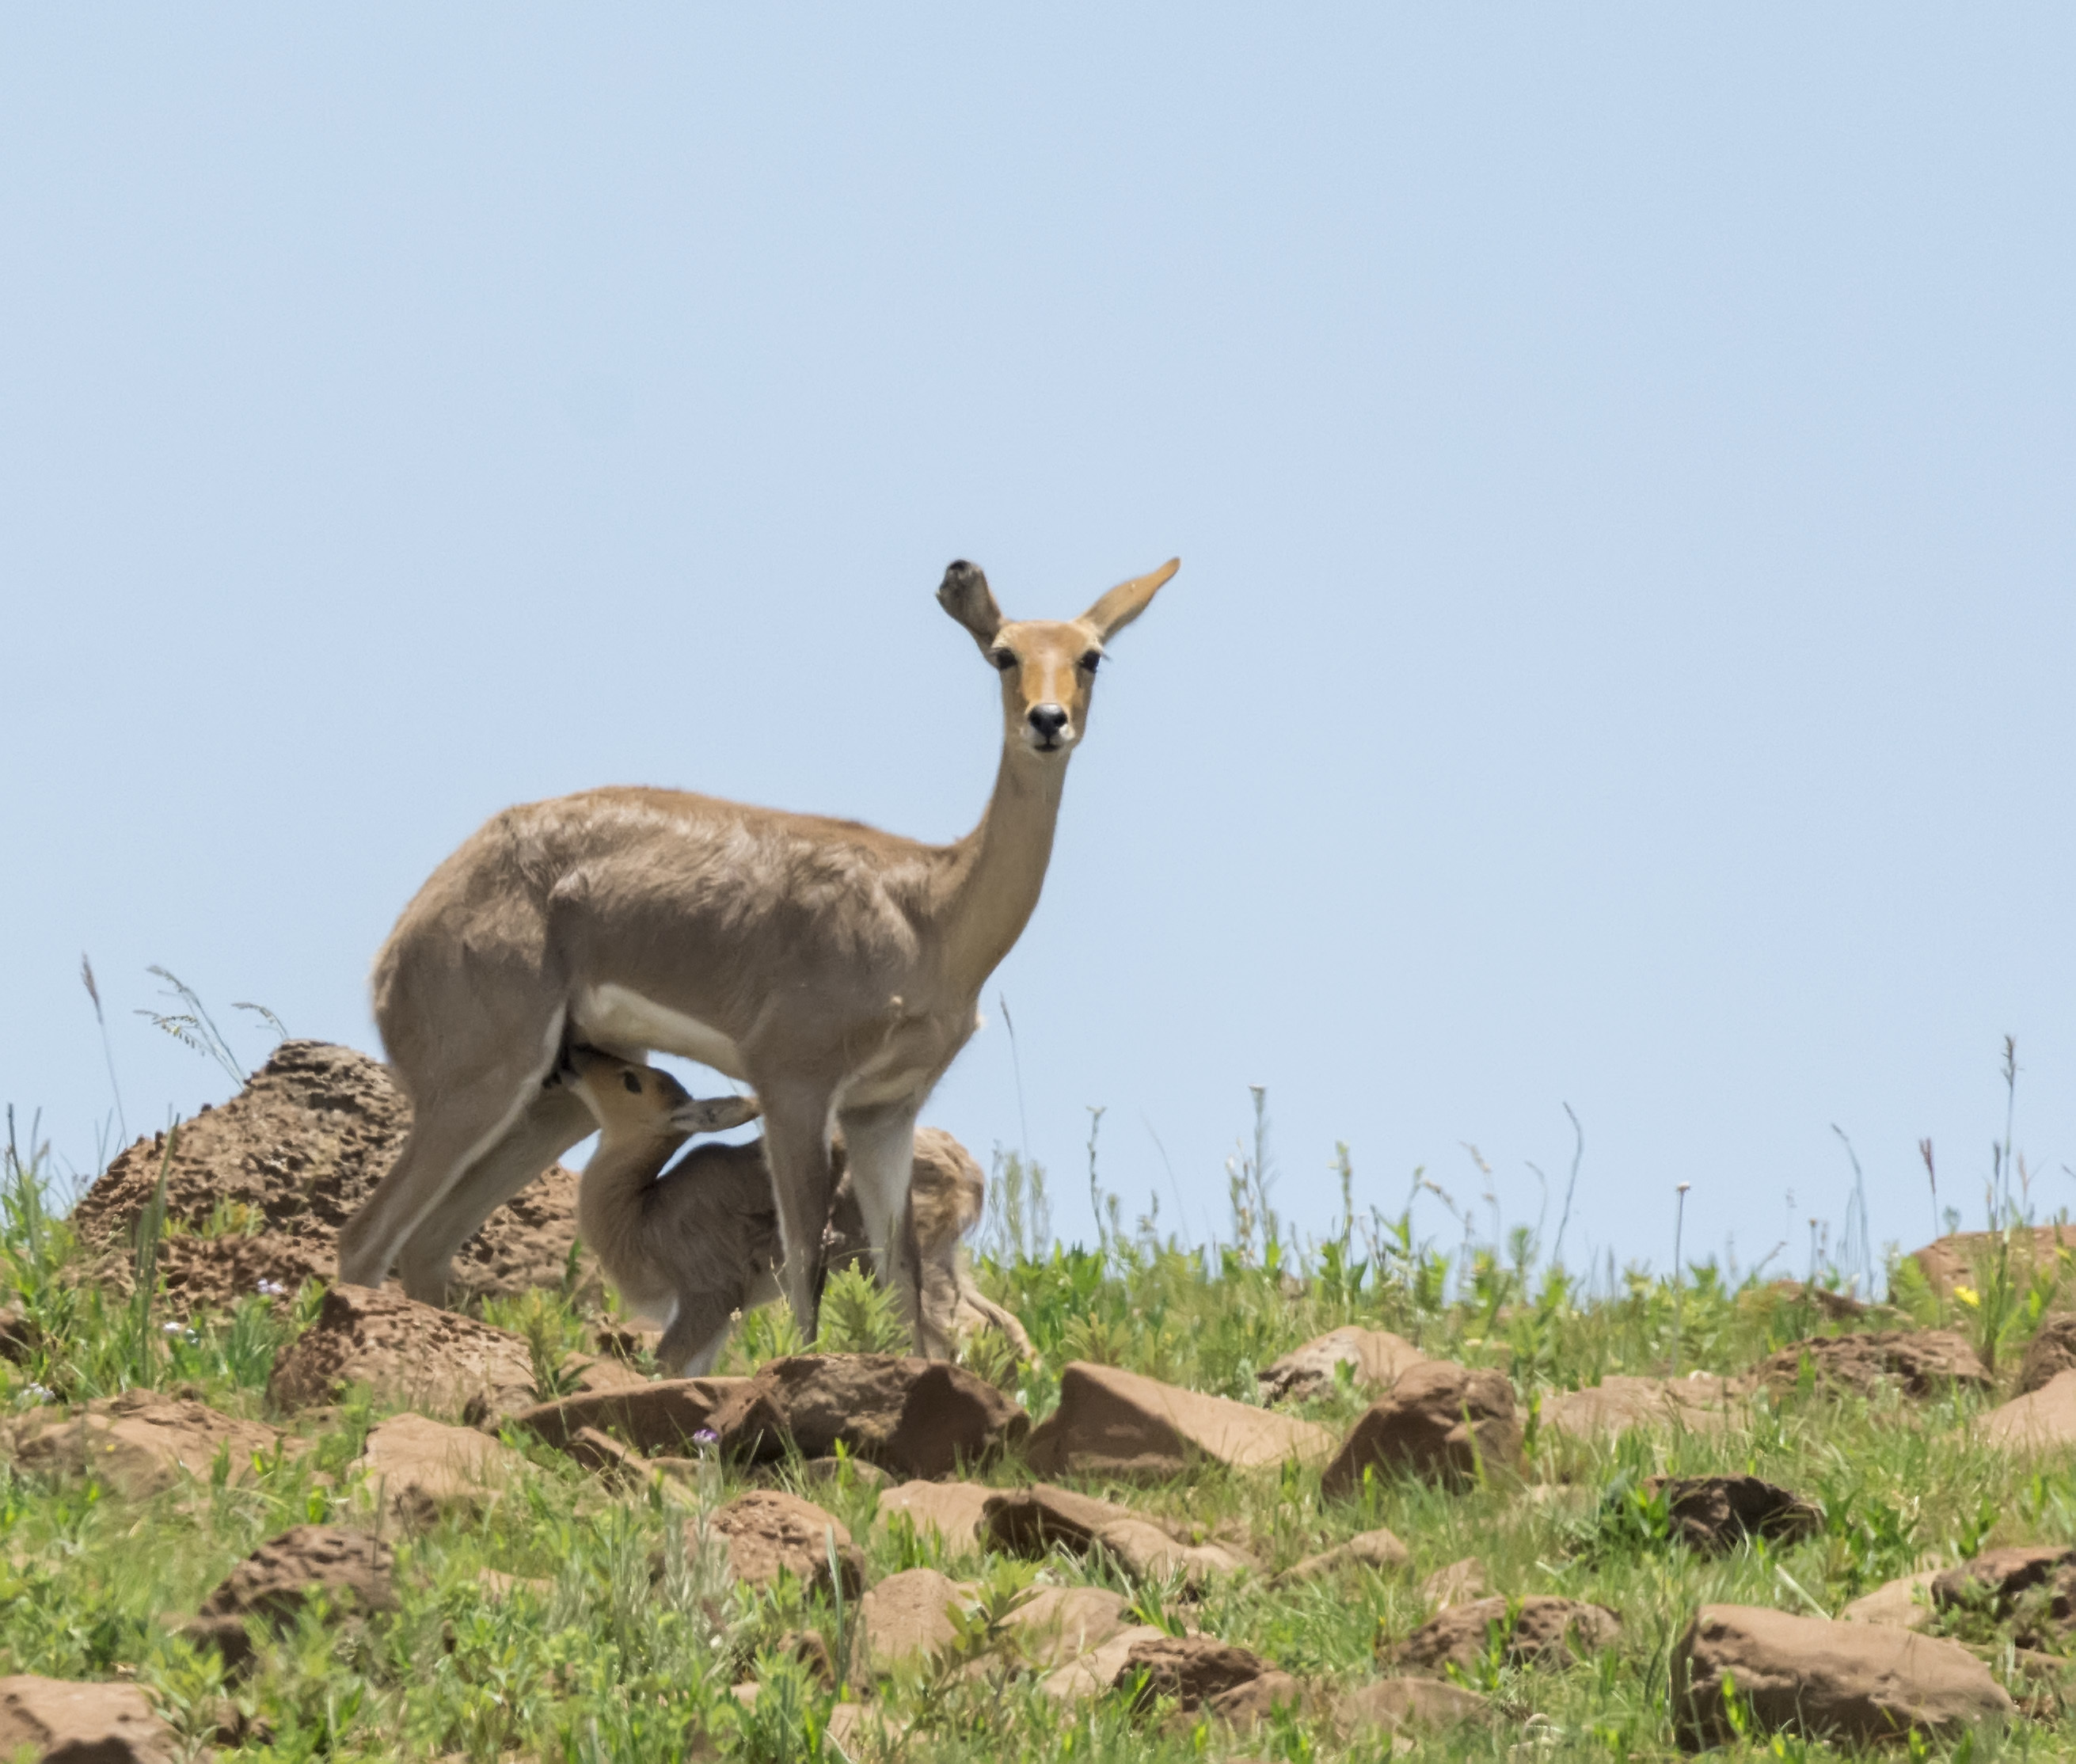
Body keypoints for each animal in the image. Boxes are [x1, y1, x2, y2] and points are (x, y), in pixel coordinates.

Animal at [344, 556, 1187, 1336]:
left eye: (1091, 656)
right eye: (1004, 653)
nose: (1048, 720)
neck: (930, 911)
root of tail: (397, 948)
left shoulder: (885, 1112)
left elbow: (902, 1284)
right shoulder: (793, 1088)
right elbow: (806, 1274)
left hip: (555, 1106)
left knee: (428, 1244)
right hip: (478, 1086)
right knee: (365, 1239)